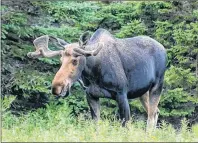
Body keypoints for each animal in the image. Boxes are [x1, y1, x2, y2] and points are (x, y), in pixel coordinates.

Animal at [27, 28, 166, 129]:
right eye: (61, 60)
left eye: (75, 60)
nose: (56, 87)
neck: (94, 74)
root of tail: (164, 49)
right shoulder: (91, 95)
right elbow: (96, 125)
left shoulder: (121, 94)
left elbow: (125, 125)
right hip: (142, 93)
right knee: (155, 112)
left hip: (157, 86)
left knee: (151, 115)